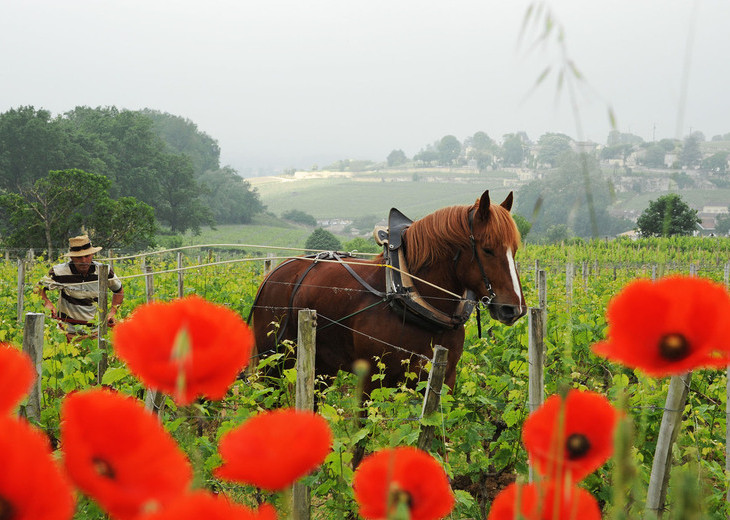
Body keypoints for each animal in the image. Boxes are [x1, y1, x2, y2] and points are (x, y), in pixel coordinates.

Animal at [250, 190, 524, 390]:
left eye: (515, 249)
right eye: (487, 249)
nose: (514, 309)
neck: (409, 295)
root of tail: (274, 274)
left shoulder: (441, 378)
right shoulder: (374, 378)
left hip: (321, 366)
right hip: (272, 362)